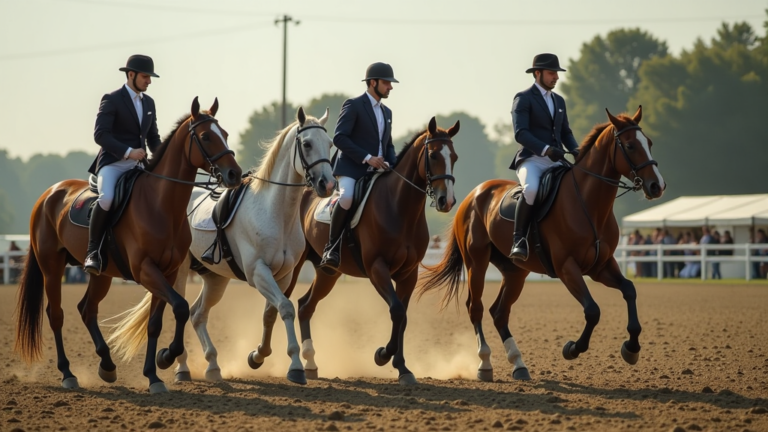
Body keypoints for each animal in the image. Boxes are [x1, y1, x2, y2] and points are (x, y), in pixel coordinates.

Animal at [15, 97, 243, 392]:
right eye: (206, 136)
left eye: (224, 134)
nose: (235, 174)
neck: (161, 205)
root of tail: (48, 194)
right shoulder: (145, 270)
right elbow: (180, 307)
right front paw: (166, 358)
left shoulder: (167, 272)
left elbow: (158, 322)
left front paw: (156, 372)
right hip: (52, 269)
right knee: (56, 315)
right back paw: (68, 374)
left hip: (101, 275)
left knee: (87, 309)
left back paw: (107, 366)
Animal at [106, 108, 334, 384]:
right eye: (307, 144)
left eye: (330, 144)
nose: (327, 184)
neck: (276, 212)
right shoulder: (258, 273)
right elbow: (286, 308)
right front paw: (296, 366)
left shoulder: (284, 275)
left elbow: (272, 312)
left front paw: (258, 356)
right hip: (178, 272)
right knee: (181, 310)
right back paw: (181, 367)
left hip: (215, 278)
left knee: (197, 314)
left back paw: (213, 365)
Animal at [416, 107, 664, 382]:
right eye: (630, 145)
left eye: (649, 143)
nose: (657, 186)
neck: (589, 203)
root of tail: (473, 194)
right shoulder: (567, 268)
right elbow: (592, 310)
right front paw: (572, 349)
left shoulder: (601, 267)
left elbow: (629, 290)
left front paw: (631, 348)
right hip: (476, 264)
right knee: (476, 308)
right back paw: (485, 364)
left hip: (515, 272)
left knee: (499, 312)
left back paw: (519, 365)